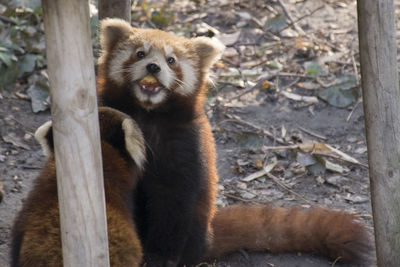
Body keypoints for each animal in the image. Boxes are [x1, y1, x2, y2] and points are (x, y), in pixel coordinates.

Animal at [97, 17, 372, 266]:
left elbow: (173, 201)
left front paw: (160, 257)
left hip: (197, 226)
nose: (153, 67)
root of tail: (208, 236)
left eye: (171, 60)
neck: (148, 114)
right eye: (140, 53)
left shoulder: (185, 144)